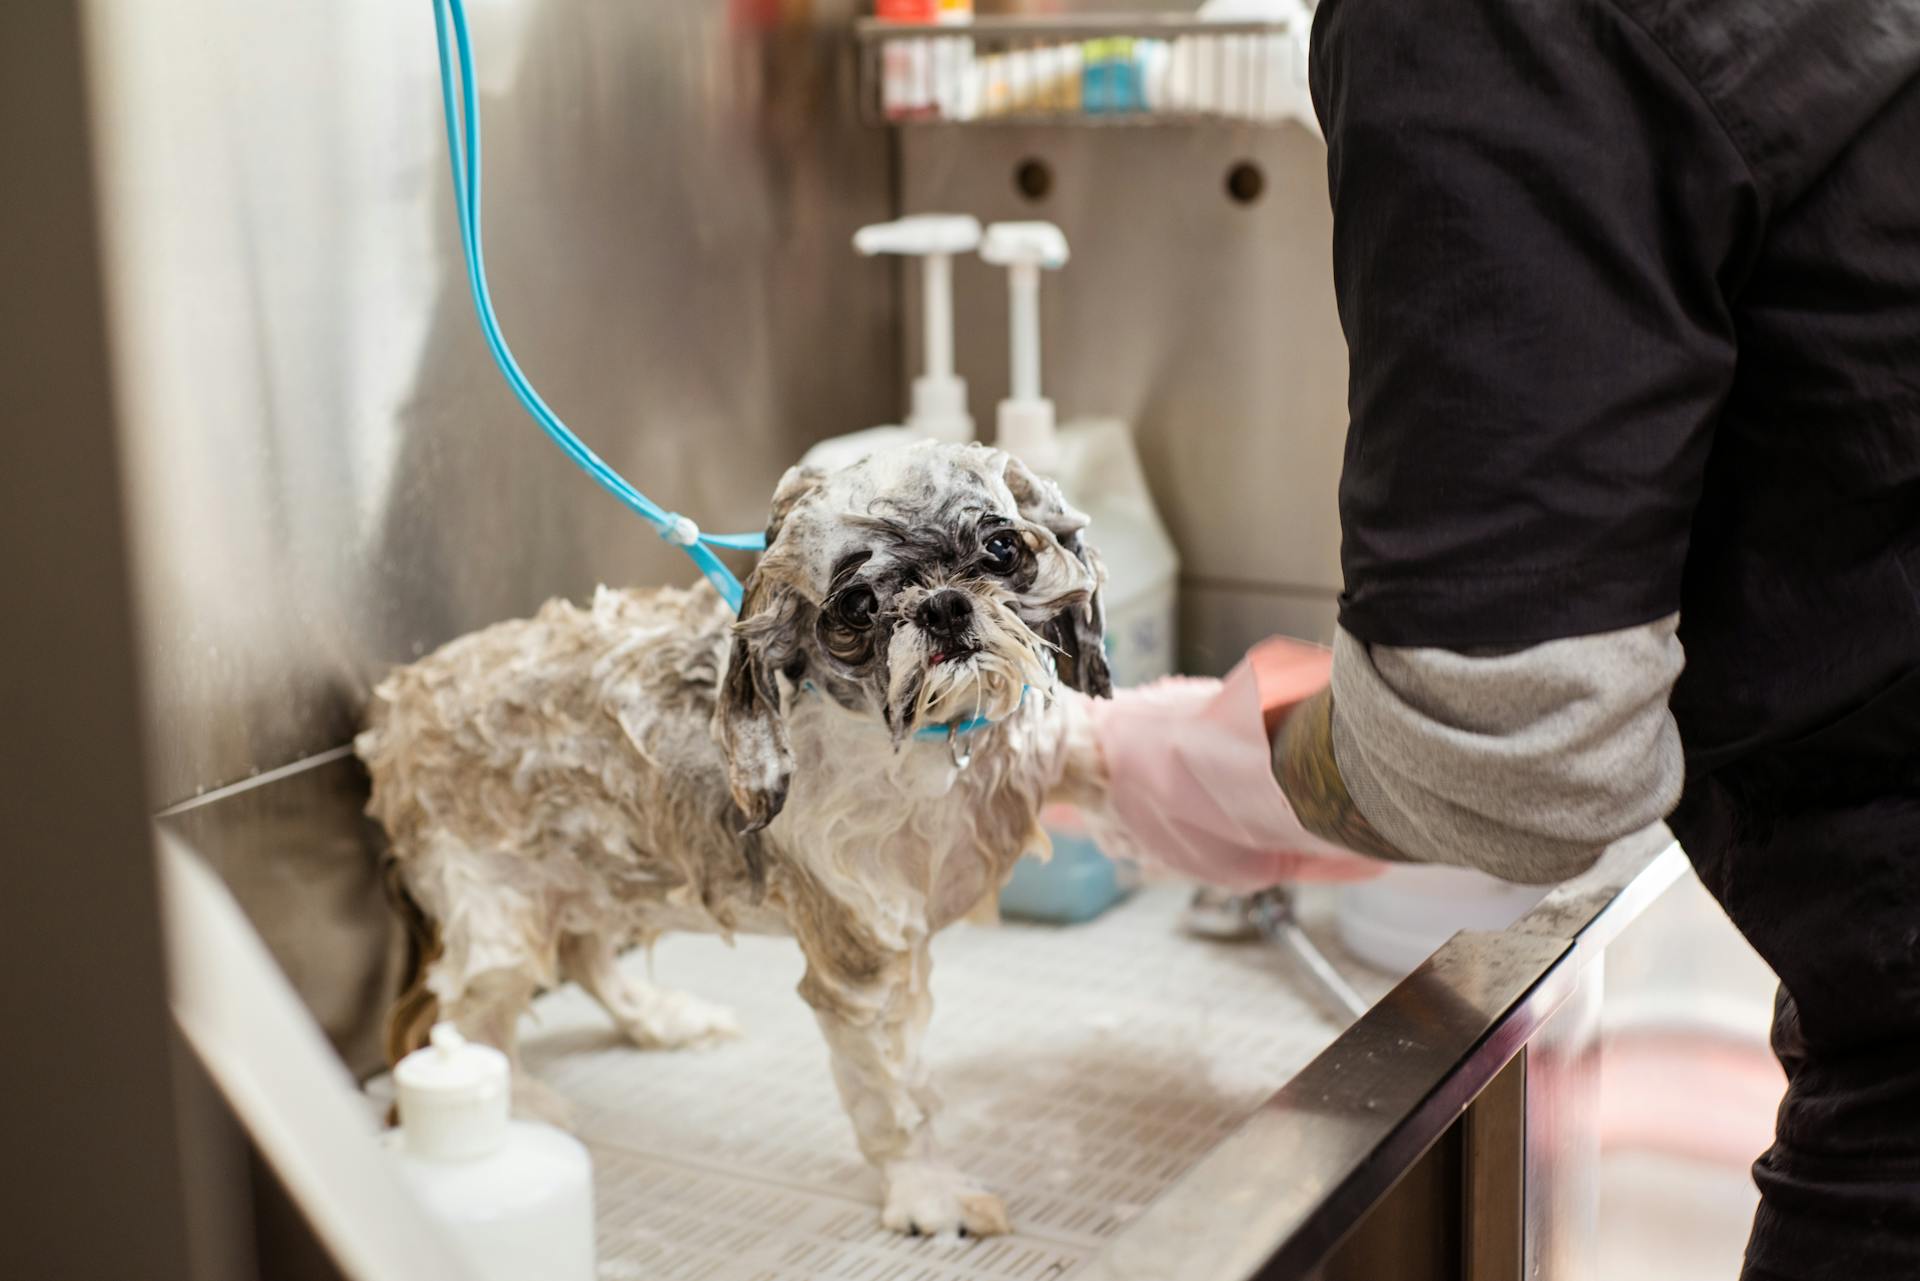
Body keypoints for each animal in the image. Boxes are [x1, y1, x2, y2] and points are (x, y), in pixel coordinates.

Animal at [357, 441, 1113, 1229]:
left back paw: (660, 1017)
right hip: (497, 911)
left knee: (584, 953)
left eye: (1002, 547)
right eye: (857, 604)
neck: (927, 749)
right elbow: (897, 1099)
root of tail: (393, 710)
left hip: (597, 859)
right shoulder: (860, 961)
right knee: (466, 1018)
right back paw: (521, 1103)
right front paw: (927, 1191)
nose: (943, 605)